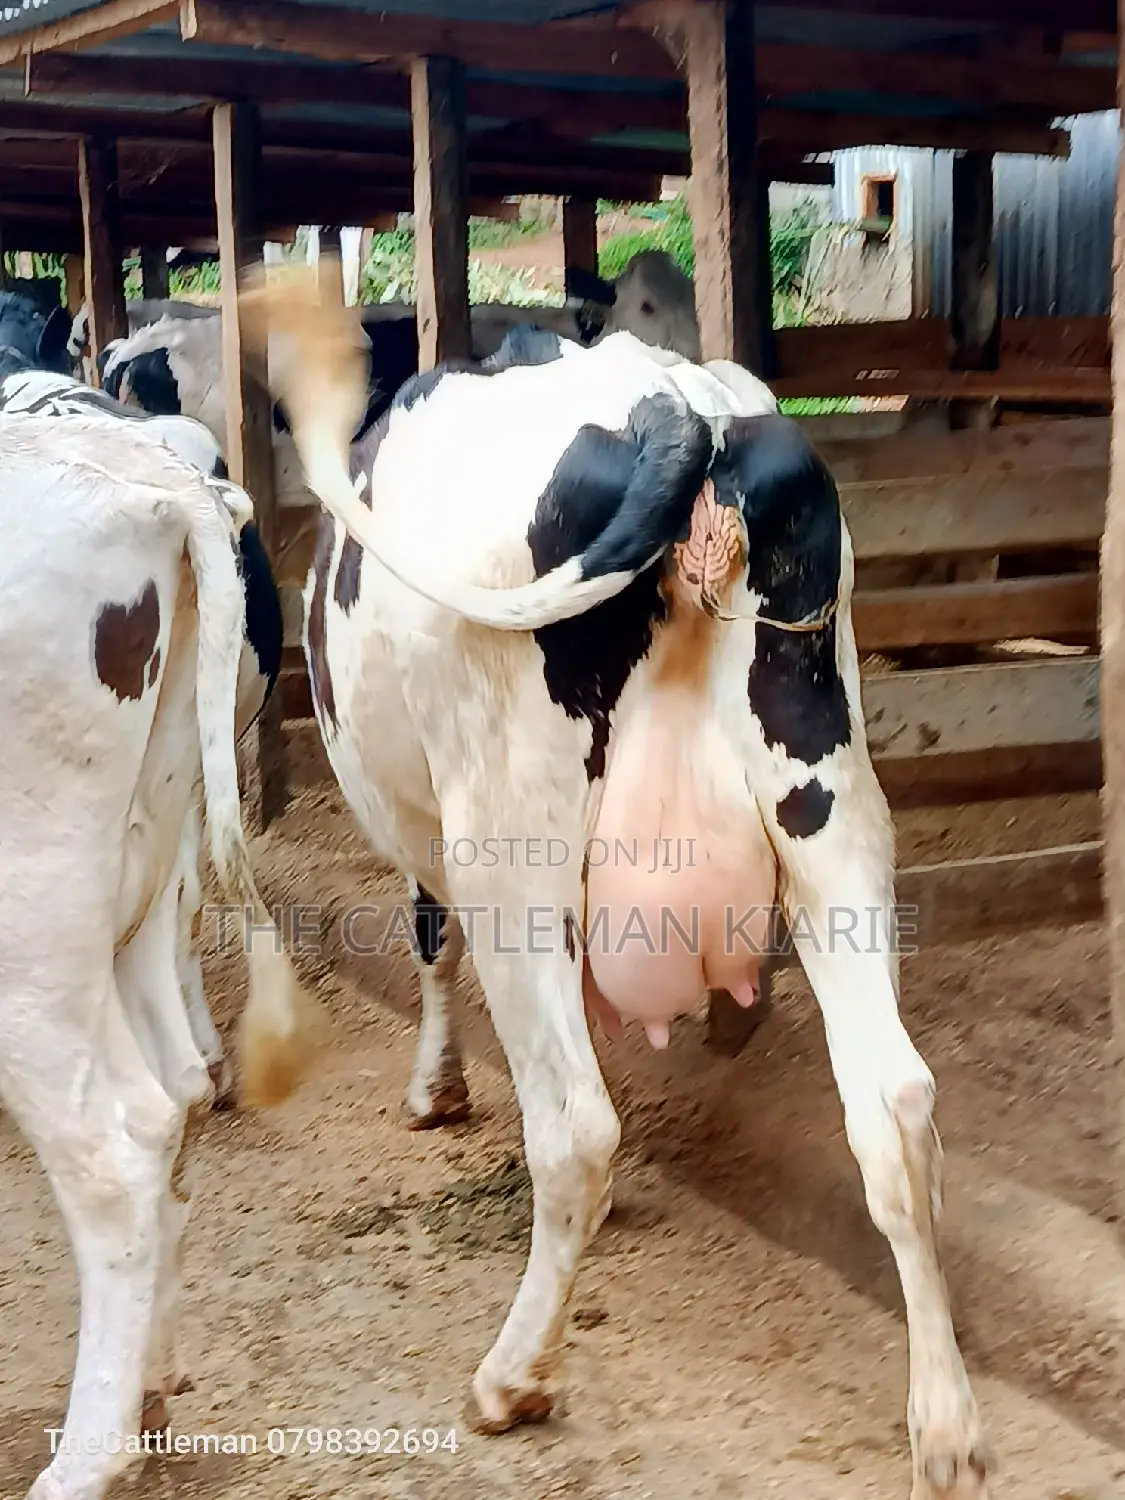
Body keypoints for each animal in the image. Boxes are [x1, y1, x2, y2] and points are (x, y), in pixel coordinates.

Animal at [235, 265, 990, 1500]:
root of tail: (677, 409)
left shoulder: (429, 832)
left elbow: (429, 941)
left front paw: (436, 1090)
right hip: (829, 808)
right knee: (896, 1106)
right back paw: (948, 1427)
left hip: (509, 839)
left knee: (577, 1122)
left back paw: (513, 1377)